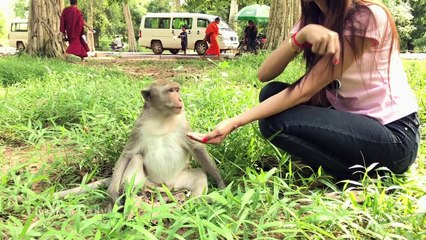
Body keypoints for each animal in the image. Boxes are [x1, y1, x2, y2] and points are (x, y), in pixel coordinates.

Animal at [53, 79, 226, 206]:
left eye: (177, 90)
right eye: (171, 91)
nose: (180, 99)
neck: (162, 117)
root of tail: (165, 186)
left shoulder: (183, 124)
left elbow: (197, 149)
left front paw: (221, 183)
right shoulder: (138, 127)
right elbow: (127, 154)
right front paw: (112, 193)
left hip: (179, 179)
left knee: (199, 174)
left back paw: (195, 201)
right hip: (147, 180)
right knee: (136, 159)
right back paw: (135, 194)